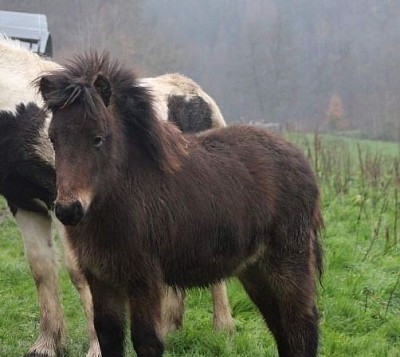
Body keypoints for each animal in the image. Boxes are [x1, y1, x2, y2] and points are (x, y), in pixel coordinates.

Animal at [0, 36, 231, 356]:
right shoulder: (23, 201)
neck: (23, 114)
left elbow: (79, 271)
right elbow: (41, 268)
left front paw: (96, 347)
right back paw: (171, 327)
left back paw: (223, 328)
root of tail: (196, 92)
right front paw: (46, 344)